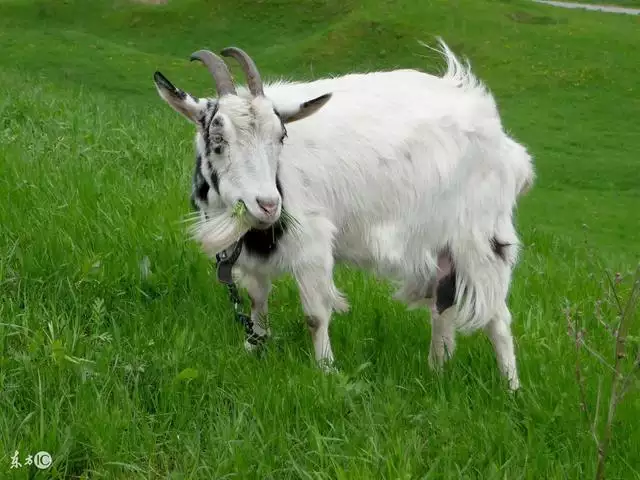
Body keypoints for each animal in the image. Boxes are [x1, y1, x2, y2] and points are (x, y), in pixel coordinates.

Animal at [154, 40, 536, 390]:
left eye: (281, 136)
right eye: (217, 139)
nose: (268, 204)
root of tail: (507, 145)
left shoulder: (312, 243)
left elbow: (315, 316)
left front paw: (325, 370)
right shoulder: (252, 255)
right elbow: (257, 301)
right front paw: (255, 347)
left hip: (483, 239)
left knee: (498, 318)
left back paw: (511, 388)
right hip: (443, 248)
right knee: (442, 308)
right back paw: (435, 372)